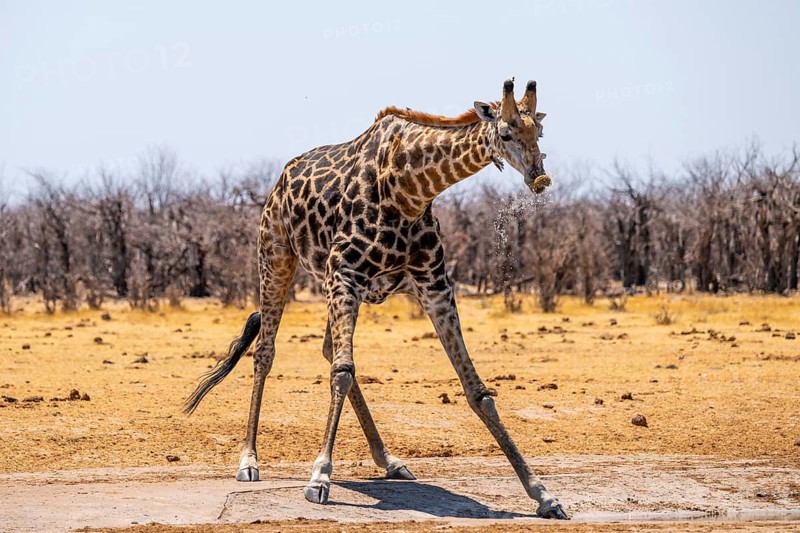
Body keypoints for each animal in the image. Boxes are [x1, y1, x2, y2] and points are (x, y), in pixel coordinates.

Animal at [184, 79, 568, 519]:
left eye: (538, 132)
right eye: (505, 133)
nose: (540, 179)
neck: (410, 188)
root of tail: (279, 181)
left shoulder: (434, 285)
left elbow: (476, 390)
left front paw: (543, 494)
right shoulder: (345, 274)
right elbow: (342, 371)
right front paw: (319, 477)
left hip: (337, 283)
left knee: (328, 348)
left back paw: (390, 460)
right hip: (276, 256)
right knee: (266, 351)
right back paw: (249, 460)